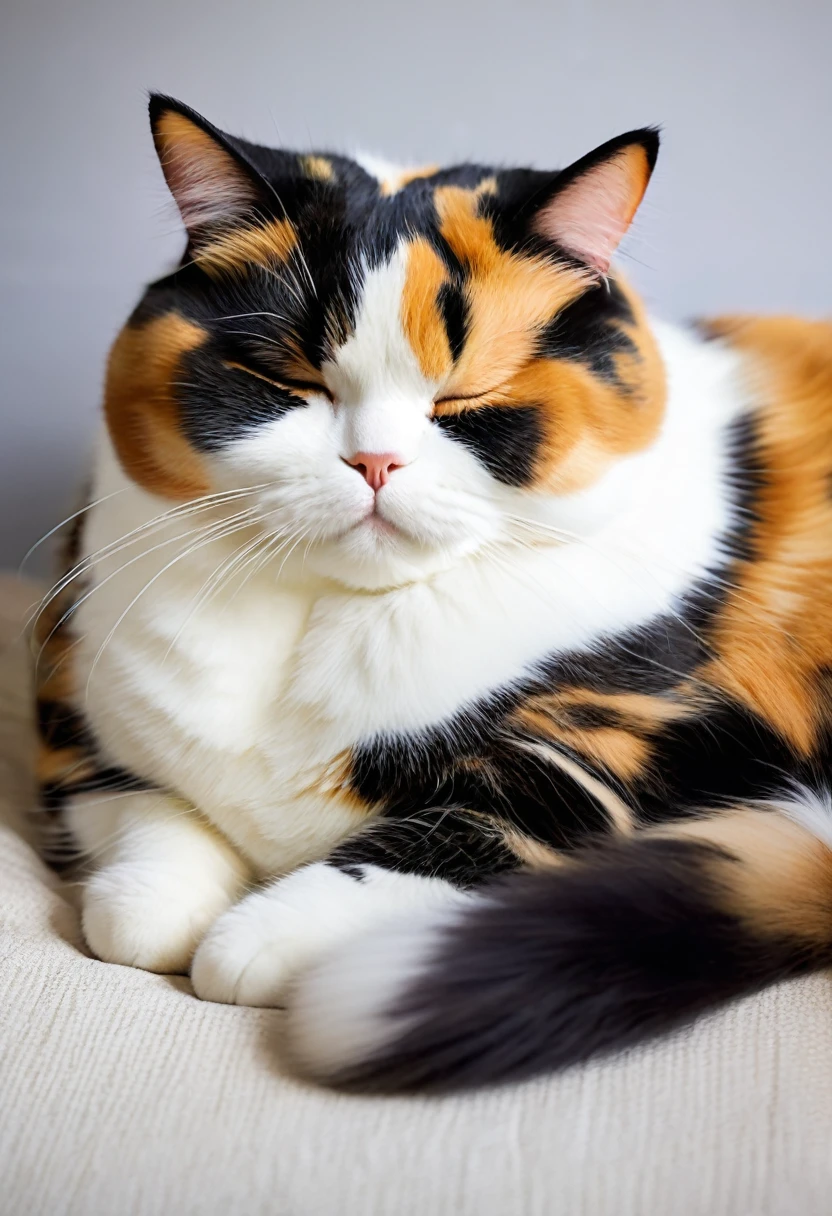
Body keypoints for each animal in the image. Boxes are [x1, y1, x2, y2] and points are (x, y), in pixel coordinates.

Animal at [32, 94, 832, 1099]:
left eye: (466, 394)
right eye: (291, 379)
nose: (374, 462)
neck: (327, 621)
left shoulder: (628, 752)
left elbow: (443, 838)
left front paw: (256, 938)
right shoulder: (74, 725)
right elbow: (144, 843)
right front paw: (158, 903)